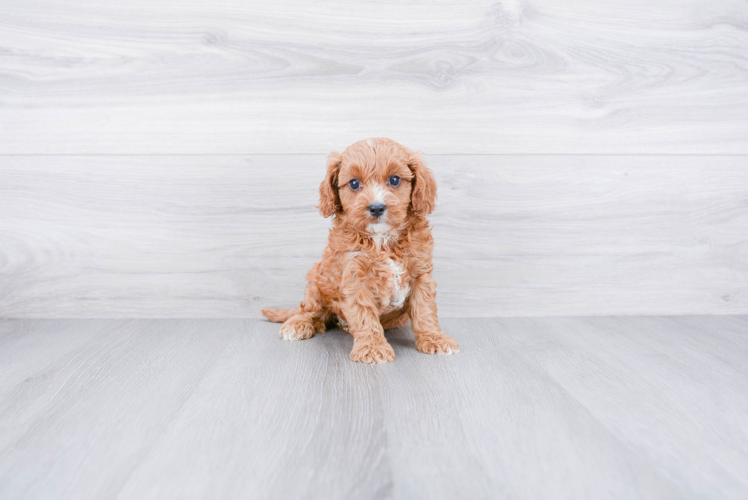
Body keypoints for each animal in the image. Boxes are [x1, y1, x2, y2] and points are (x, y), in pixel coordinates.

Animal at [262, 137, 462, 364]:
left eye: (394, 180)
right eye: (354, 183)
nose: (376, 207)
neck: (382, 239)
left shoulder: (420, 273)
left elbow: (425, 309)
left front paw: (434, 338)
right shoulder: (355, 276)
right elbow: (365, 314)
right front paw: (372, 347)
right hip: (316, 280)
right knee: (311, 311)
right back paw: (298, 324)